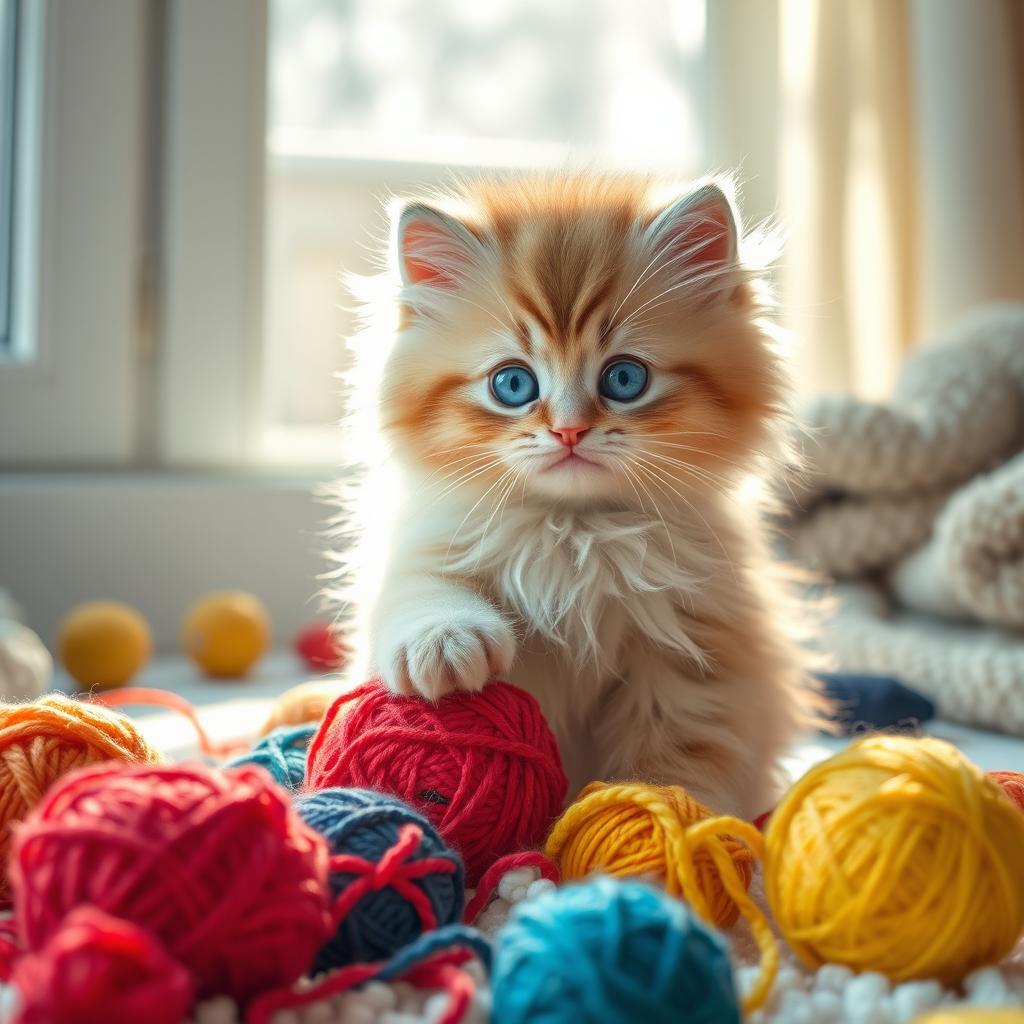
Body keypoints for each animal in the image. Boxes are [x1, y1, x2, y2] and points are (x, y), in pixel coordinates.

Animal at [335, 174, 815, 815]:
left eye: (624, 379)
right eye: (513, 384)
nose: (569, 430)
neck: (575, 533)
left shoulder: (695, 651)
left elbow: (679, 756)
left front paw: (659, 820)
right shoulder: (426, 548)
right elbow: (420, 589)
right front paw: (444, 642)